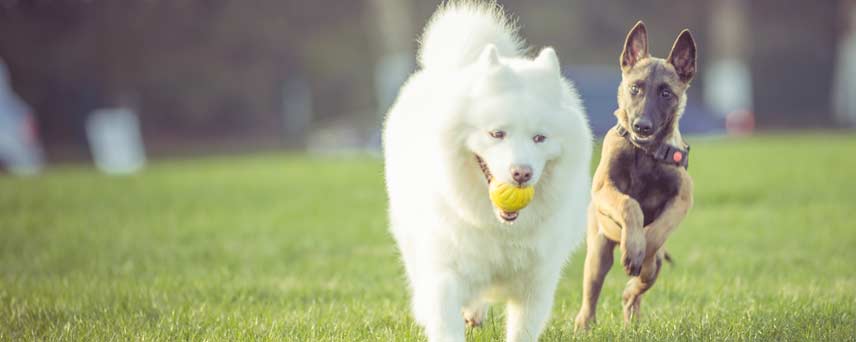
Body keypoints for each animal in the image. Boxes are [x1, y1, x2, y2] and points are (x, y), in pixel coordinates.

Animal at [384, 1, 592, 340]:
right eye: (497, 134)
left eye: (539, 138)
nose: (521, 173)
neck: (499, 228)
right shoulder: (445, 272)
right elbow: (445, 322)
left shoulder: (536, 285)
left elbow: (521, 331)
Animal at [576, 20, 696, 330]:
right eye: (635, 88)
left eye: (666, 93)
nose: (642, 126)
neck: (645, 153)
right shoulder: (605, 188)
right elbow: (630, 205)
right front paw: (633, 245)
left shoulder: (682, 199)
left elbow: (656, 232)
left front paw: (640, 250)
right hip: (598, 254)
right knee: (591, 293)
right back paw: (584, 325)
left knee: (639, 286)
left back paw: (632, 304)